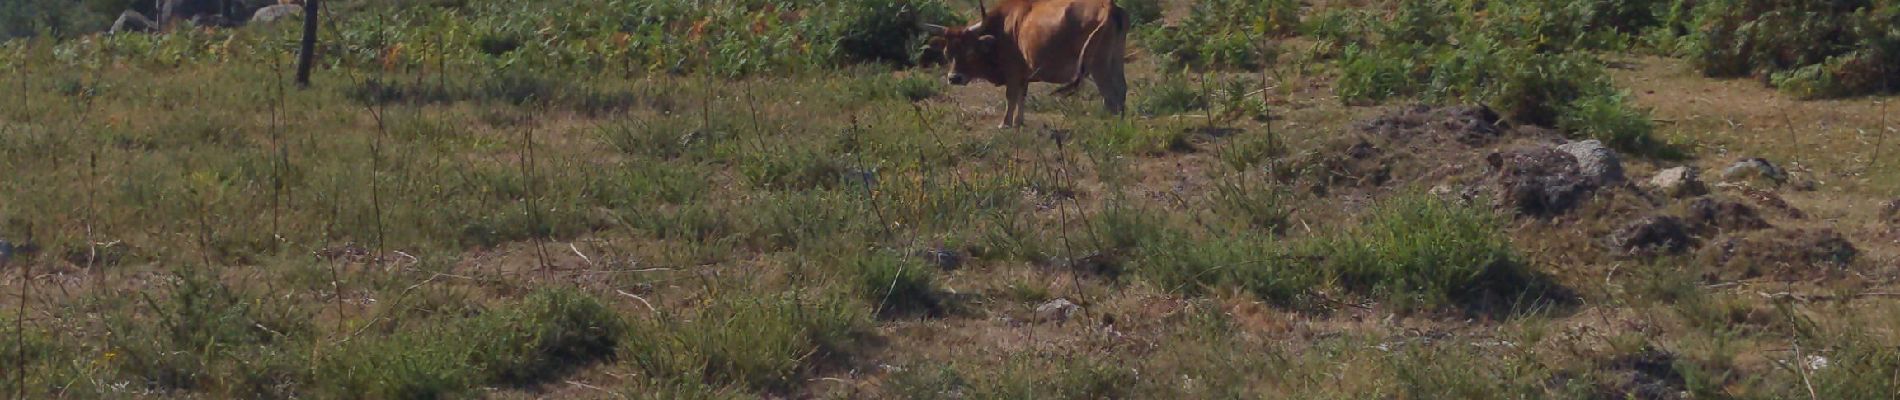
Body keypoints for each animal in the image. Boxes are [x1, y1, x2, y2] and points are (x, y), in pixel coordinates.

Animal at [923, 0, 1124, 127]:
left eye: (970, 51)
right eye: (947, 53)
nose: (954, 78)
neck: (1002, 28)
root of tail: (1107, 5)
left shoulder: (1013, 72)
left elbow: (1010, 97)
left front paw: (1005, 123)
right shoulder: (1024, 75)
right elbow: (1021, 96)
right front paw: (1018, 121)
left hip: (1098, 65)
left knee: (1110, 95)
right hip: (1115, 60)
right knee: (1121, 90)